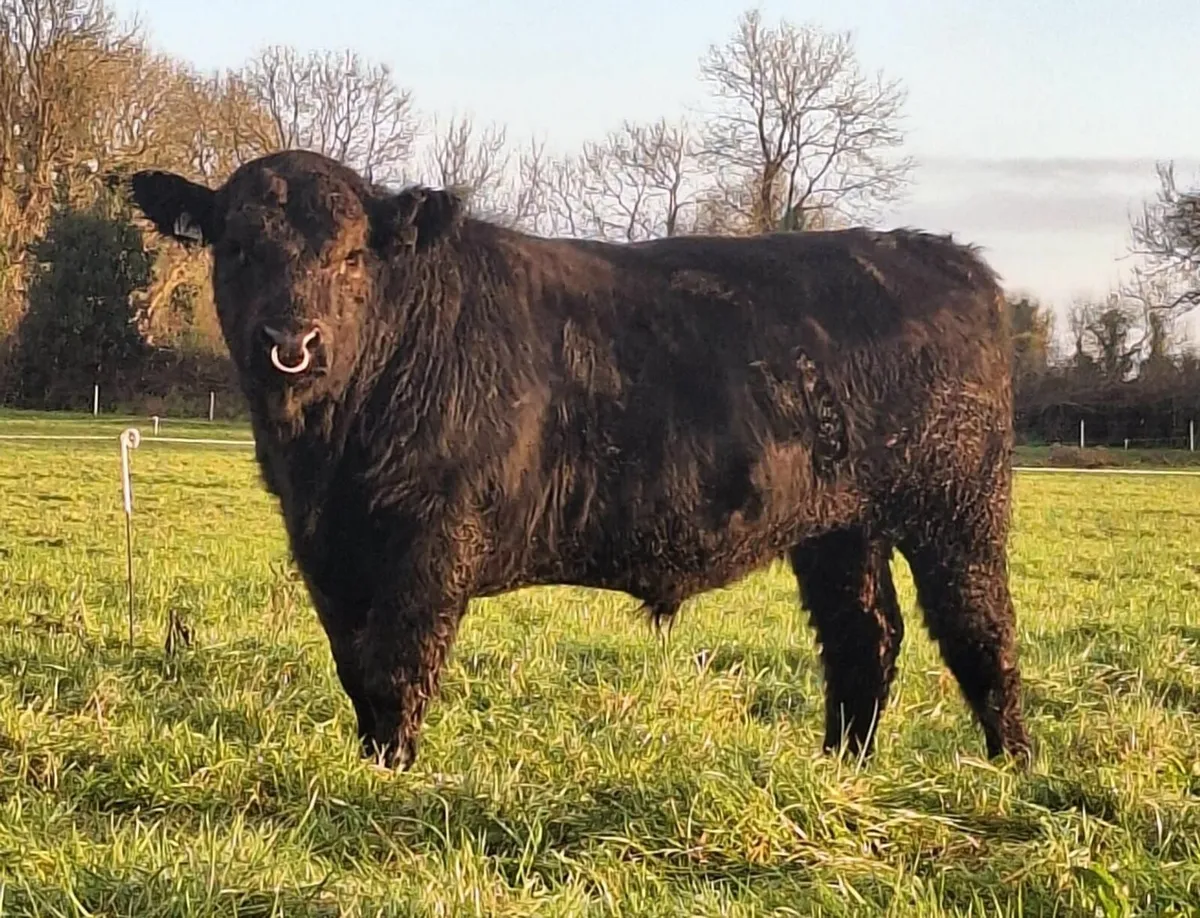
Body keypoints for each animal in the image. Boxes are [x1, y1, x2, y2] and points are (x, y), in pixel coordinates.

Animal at [128, 149, 1032, 771]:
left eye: (353, 256)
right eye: (235, 249)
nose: (292, 340)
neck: (323, 456)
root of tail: (948, 256)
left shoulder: (433, 537)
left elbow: (397, 666)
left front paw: (389, 777)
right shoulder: (327, 552)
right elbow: (357, 668)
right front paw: (369, 765)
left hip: (957, 507)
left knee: (980, 633)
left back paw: (1011, 771)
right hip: (841, 527)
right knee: (863, 639)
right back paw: (842, 769)